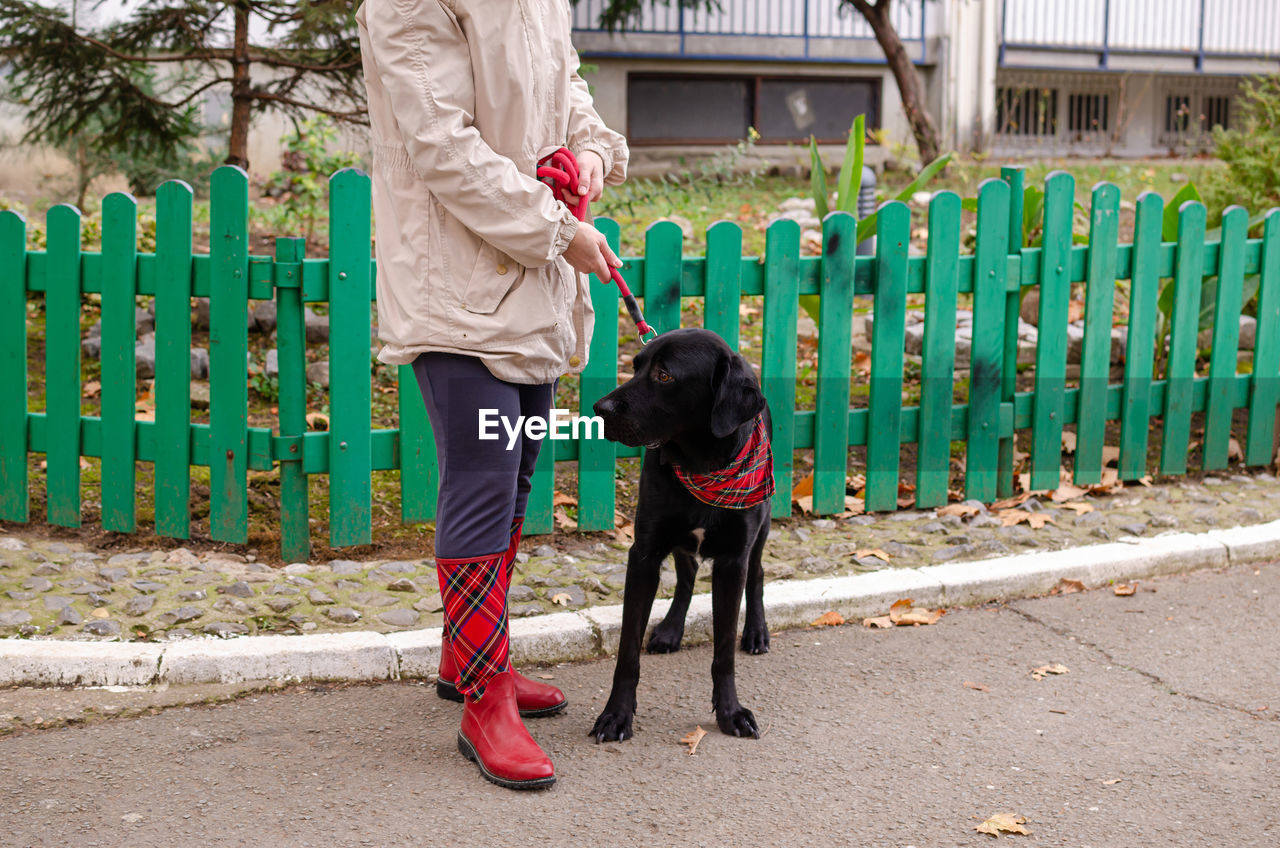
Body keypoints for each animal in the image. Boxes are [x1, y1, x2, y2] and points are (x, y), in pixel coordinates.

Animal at [586, 327, 768, 742]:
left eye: (665, 375)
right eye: (636, 365)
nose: (600, 409)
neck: (700, 464)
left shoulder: (732, 560)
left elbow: (723, 652)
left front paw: (731, 712)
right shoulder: (644, 554)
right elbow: (627, 651)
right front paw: (616, 715)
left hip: (763, 522)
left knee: (758, 572)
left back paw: (756, 632)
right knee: (686, 576)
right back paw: (670, 630)